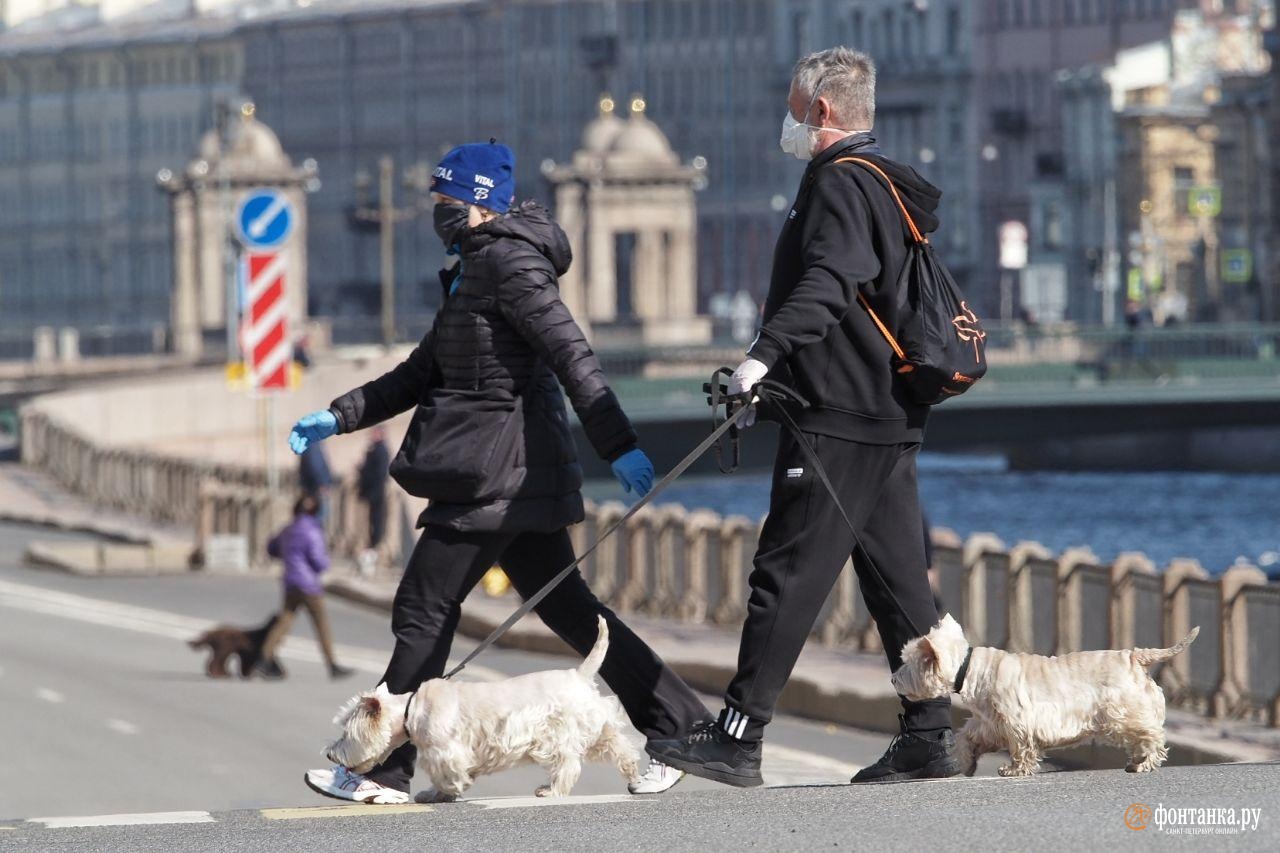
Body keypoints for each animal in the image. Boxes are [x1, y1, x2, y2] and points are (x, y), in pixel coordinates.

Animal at [320, 614, 640, 794]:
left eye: (346, 733)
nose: (330, 755)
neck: (409, 712)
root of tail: (580, 674)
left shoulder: (445, 750)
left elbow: (447, 773)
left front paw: (446, 790)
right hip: (599, 727)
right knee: (620, 747)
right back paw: (634, 776)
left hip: (557, 735)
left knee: (568, 764)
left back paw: (549, 791)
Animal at [890, 614, 1198, 773]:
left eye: (906, 663)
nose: (893, 679)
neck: (971, 670)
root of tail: (1135, 656)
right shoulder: (989, 723)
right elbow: (968, 738)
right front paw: (963, 761)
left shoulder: (1017, 722)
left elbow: (1021, 748)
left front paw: (1014, 770)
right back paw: (1136, 761)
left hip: (1123, 714)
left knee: (1152, 734)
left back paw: (1145, 762)